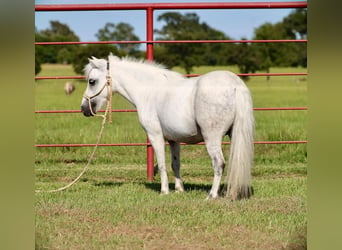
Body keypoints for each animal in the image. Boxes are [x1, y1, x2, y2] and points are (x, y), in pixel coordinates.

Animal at [80, 54, 254, 201]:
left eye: (92, 81)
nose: (84, 109)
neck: (149, 91)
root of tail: (235, 85)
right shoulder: (174, 140)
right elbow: (175, 164)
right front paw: (179, 189)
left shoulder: (155, 135)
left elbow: (162, 163)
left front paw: (164, 191)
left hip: (212, 138)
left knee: (219, 163)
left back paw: (211, 195)